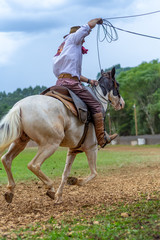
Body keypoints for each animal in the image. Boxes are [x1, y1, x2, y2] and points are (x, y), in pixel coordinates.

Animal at [0, 68, 124, 204]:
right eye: (117, 85)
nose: (121, 103)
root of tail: (20, 106)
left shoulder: (72, 150)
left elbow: (65, 173)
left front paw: (59, 196)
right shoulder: (91, 148)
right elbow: (94, 173)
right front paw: (75, 181)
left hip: (21, 141)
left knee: (6, 159)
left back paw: (10, 191)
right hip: (51, 143)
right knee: (34, 165)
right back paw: (50, 187)